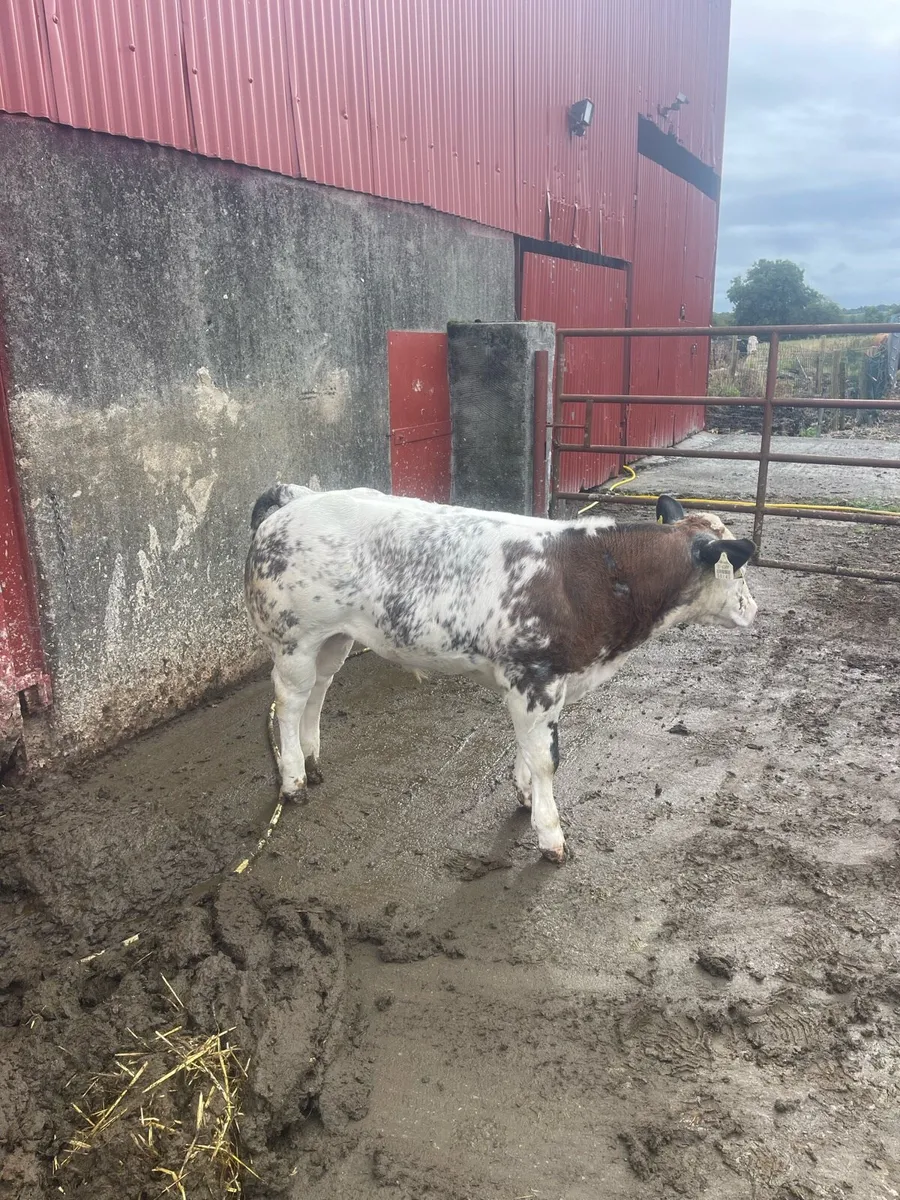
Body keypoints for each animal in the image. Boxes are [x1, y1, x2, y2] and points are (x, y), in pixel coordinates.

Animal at [244, 486, 757, 863]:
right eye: (739, 571)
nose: (755, 609)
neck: (599, 575)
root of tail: (297, 499)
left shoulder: (539, 684)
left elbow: (529, 750)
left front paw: (526, 796)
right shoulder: (536, 677)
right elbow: (547, 757)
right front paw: (551, 837)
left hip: (333, 637)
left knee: (319, 688)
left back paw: (311, 758)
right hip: (292, 638)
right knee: (289, 700)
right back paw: (293, 779)